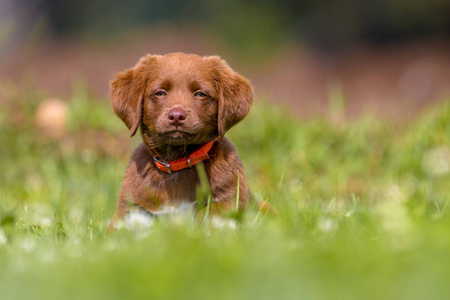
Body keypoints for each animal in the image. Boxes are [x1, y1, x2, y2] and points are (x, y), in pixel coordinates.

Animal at [107, 52, 251, 229]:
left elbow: (210, 212)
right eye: (160, 93)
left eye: (200, 94)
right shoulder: (128, 210)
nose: (176, 116)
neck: (176, 162)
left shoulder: (232, 197)